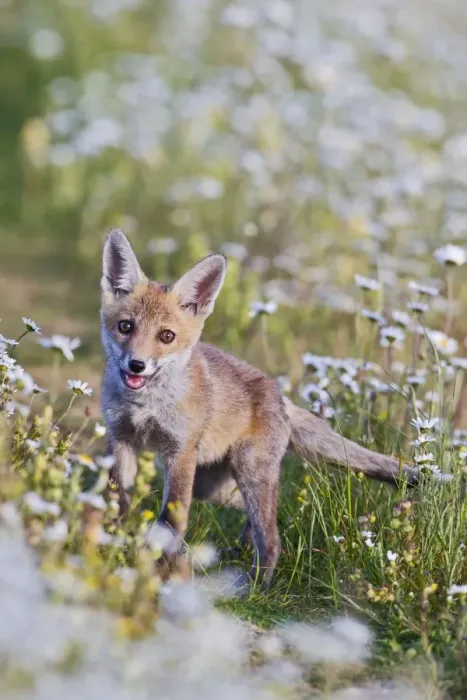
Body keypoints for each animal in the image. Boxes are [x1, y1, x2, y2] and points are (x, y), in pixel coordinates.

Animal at [100, 227, 417, 587]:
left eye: (166, 336)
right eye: (126, 327)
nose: (136, 365)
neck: (145, 405)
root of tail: (279, 394)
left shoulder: (179, 453)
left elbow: (171, 520)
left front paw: (159, 568)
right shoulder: (121, 439)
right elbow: (118, 499)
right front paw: (118, 542)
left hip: (245, 472)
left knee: (272, 535)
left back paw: (255, 586)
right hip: (214, 486)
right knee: (260, 515)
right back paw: (242, 549)